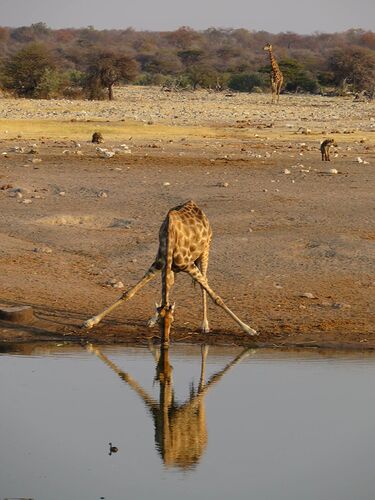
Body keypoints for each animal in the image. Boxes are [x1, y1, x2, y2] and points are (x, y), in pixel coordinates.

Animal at [82, 199, 258, 344]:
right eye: (162, 322)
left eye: (173, 321)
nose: (165, 341)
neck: (170, 236)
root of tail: (196, 206)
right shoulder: (159, 264)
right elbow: (129, 293)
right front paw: (89, 322)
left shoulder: (188, 265)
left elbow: (216, 297)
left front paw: (249, 329)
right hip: (173, 268)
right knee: (172, 286)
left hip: (205, 251)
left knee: (204, 284)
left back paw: (205, 325)